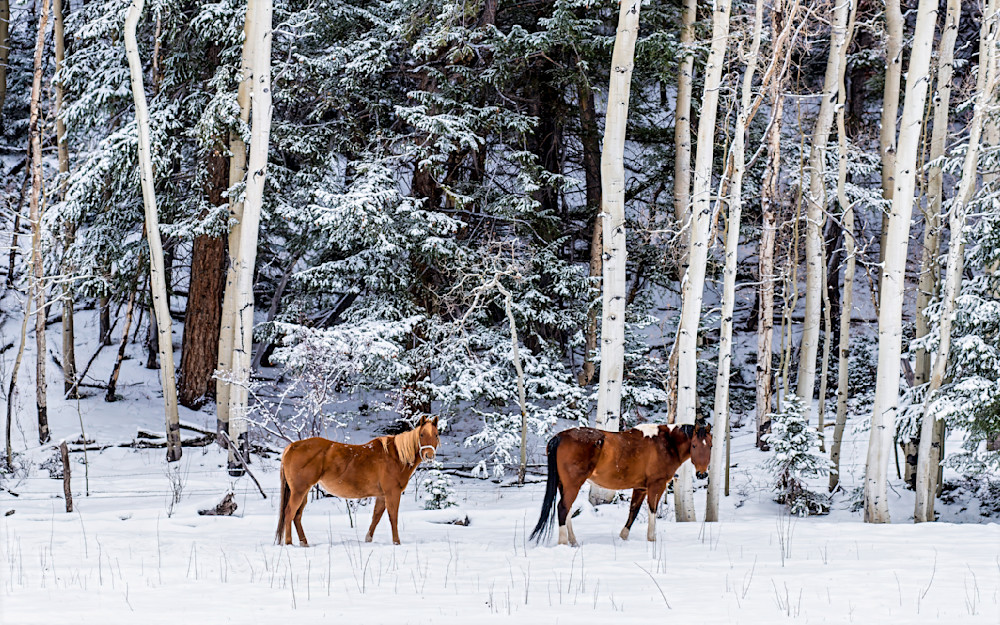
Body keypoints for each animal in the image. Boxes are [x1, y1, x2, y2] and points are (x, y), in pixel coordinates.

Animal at [275, 415, 440, 546]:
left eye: (436, 435)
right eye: (421, 434)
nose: (429, 455)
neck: (396, 456)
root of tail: (291, 446)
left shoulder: (381, 496)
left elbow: (376, 517)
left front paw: (368, 540)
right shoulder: (392, 493)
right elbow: (393, 517)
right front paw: (396, 542)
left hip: (303, 491)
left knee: (297, 516)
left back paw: (304, 543)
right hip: (299, 490)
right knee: (289, 513)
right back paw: (289, 543)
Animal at [530, 423, 712, 546]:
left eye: (710, 446)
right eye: (694, 445)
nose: (702, 474)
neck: (666, 443)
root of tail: (559, 437)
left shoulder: (640, 488)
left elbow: (633, 511)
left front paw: (623, 536)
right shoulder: (656, 485)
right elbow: (652, 511)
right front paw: (651, 539)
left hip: (564, 485)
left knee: (567, 511)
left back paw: (573, 541)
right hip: (572, 485)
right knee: (563, 508)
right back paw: (563, 542)